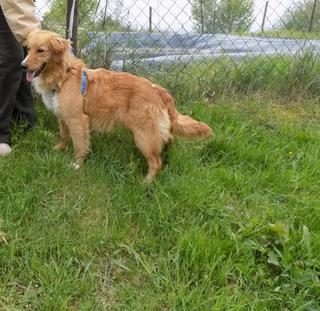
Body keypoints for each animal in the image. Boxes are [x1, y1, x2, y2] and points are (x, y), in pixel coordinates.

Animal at [21, 30, 212, 182]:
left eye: (41, 50)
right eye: (28, 49)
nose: (22, 66)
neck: (63, 76)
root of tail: (157, 89)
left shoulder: (78, 120)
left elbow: (80, 145)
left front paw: (77, 164)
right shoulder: (63, 116)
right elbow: (64, 135)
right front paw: (59, 149)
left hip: (144, 135)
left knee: (156, 162)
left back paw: (146, 182)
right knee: (167, 141)